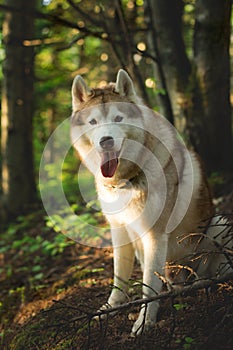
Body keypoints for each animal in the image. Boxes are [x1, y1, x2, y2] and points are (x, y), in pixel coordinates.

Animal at [70, 69, 232, 334]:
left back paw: (203, 284)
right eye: (93, 122)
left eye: (118, 118)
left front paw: (145, 320)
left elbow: (149, 285)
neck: (127, 180)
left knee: (206, 273)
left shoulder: (154, 235)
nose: (106, 140)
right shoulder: (119, 231)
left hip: (218, 224)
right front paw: (110, 308)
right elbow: (119, 277)